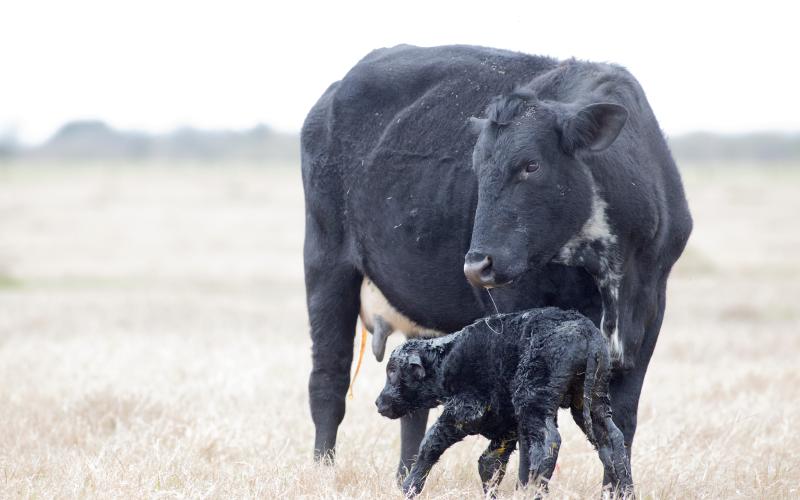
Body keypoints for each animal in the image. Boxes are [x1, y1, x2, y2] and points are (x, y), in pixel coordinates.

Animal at [375, 308, 632, 496]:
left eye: (392, 371)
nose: (379, 403)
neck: (445, 359)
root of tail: (587, 332)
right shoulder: (506, 428)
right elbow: (489, 463)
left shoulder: (464, 411)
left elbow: (431, 443)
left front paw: (408, 488)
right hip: (592, 401)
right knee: (613, 440)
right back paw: (625, 492)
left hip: (533, 400)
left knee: (549, 441)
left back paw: (534, 491)